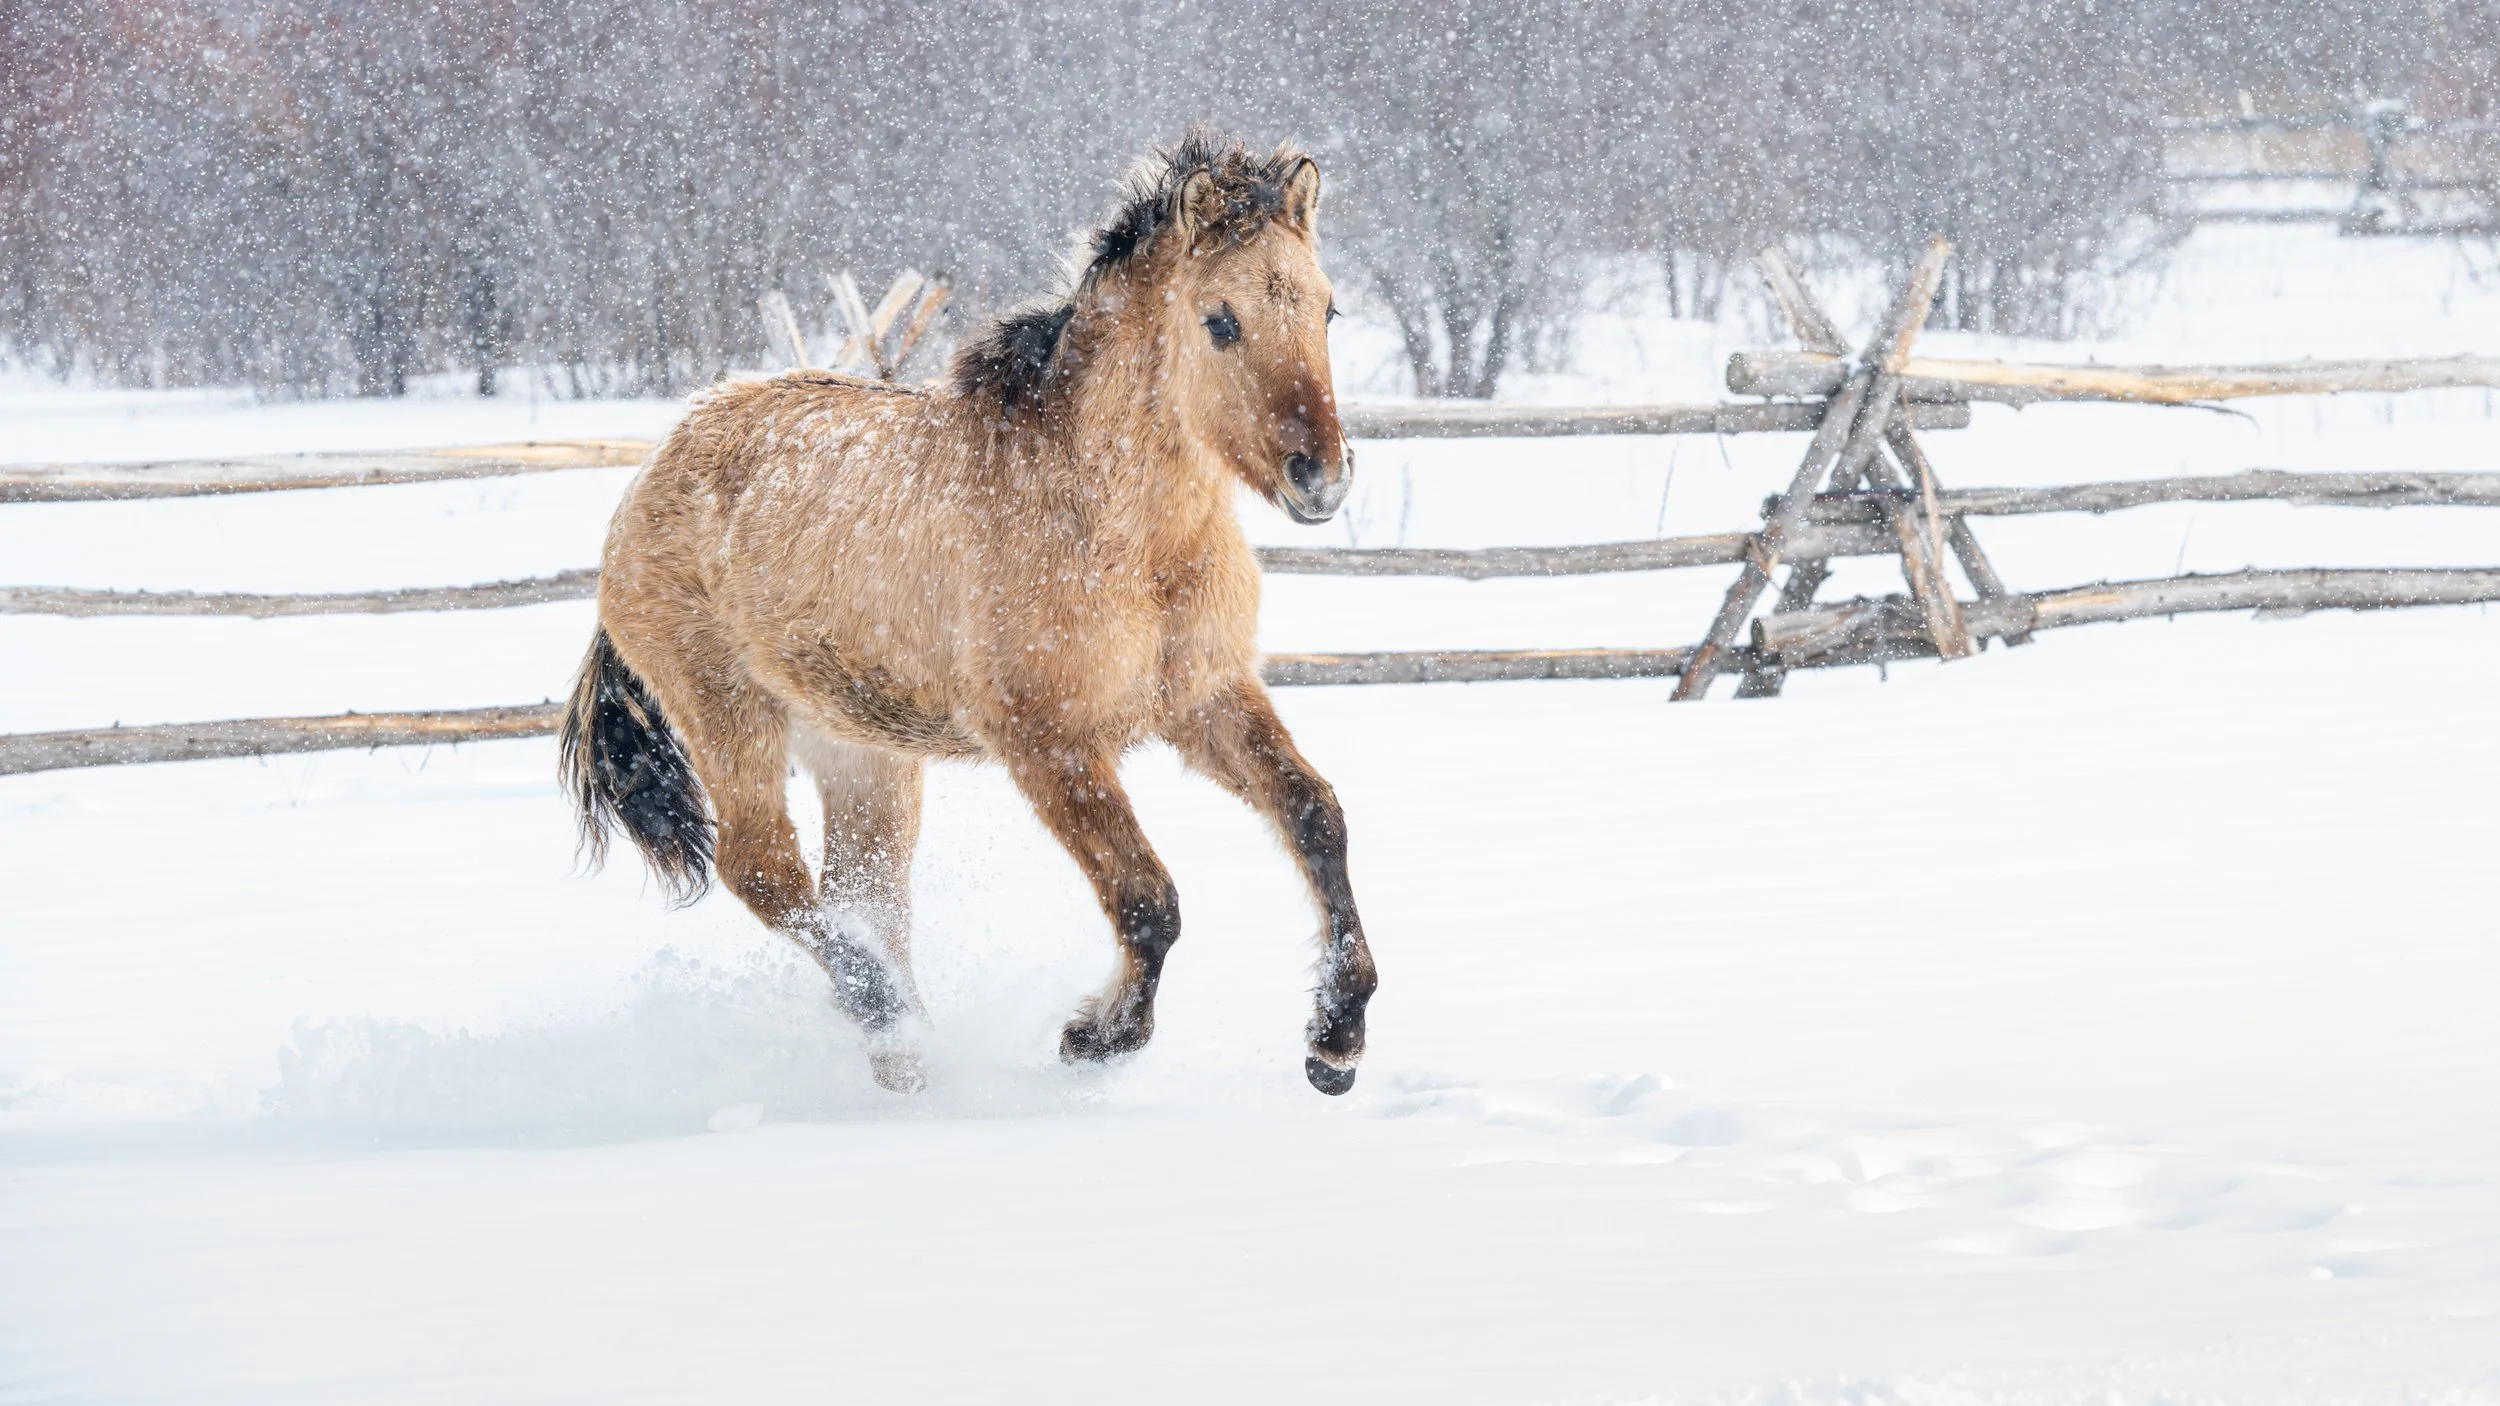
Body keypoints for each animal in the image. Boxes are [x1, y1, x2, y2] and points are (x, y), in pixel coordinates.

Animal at [559, 133, 1377, 1097]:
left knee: (862, 897)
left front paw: (1335, 1041)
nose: (1321, 479)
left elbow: (1317, 817)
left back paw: (906, 1064)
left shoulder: (1205, 699)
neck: (1125, 538)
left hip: (864, 759)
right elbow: (1149, 898)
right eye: (1220, 319)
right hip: (730, 717)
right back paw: (889, 1016)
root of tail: (656, 463)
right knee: (762, 872)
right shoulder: (1046, 740)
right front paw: (1096, 1035)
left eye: (1328, 310)